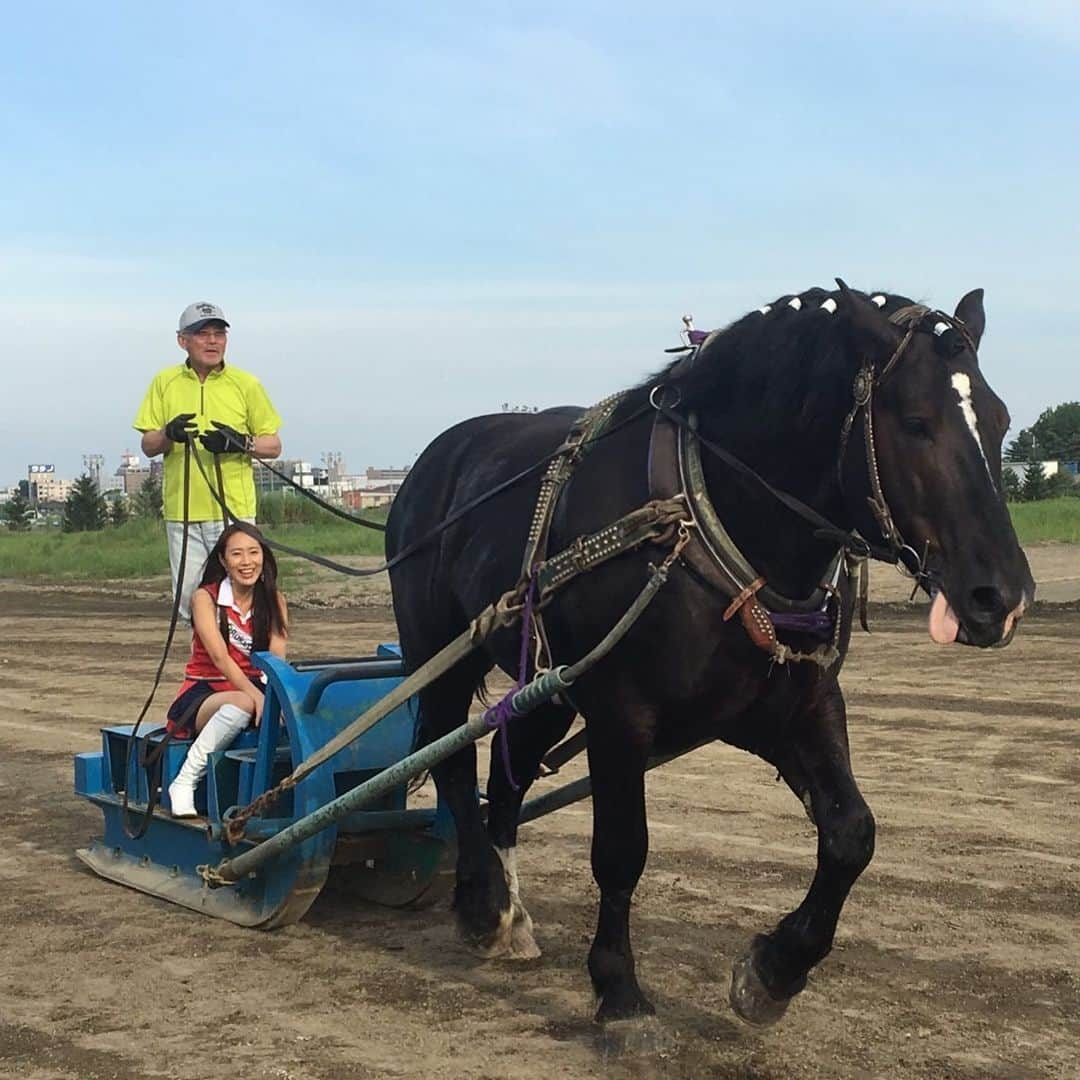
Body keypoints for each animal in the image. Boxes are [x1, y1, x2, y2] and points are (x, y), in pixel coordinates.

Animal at [384, 282, 1032, 1023]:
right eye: (918, 422)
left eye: (1000, 421)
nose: (1002, 596)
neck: (708, 517)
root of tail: (436, 458)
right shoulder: (620, 712)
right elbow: (621, 850)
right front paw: (619, 990)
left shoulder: (788, 706)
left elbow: (851, 834)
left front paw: (774, 971)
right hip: (438, 650)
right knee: (451, 758)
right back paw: (485, 901)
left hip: (546, 678)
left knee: (507, 771)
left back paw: (510, 912)